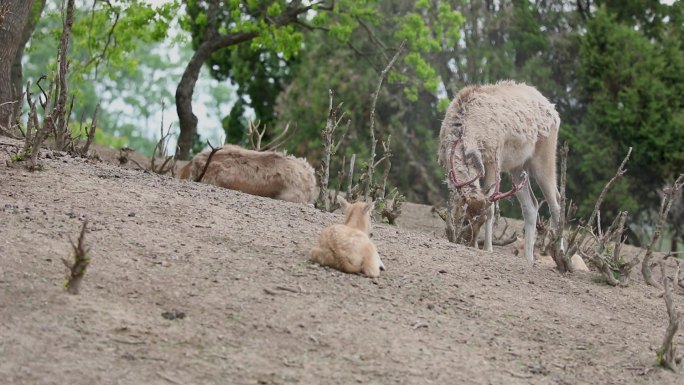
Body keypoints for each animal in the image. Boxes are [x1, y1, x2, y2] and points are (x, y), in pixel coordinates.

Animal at [438, 79, 560, 262]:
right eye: (465, 220)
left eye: (480, 221)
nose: (468, 242)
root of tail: (554, 112)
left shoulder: (492, 159)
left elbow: (491, 207)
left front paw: (488, 248)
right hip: (517, 168)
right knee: (531, 205)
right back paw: (529, 257)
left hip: (544, 158)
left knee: (556, 202)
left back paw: (558, 251)